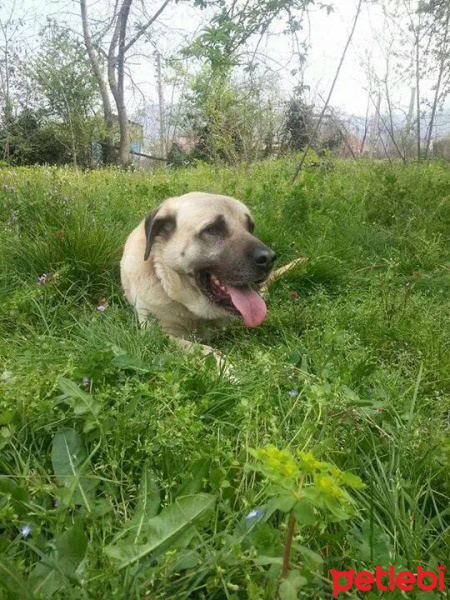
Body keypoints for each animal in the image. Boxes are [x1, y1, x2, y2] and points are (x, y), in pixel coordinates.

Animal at [119, 190, 274, 364]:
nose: (269, 258)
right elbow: (198, 348)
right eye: (213, 229)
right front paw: (223, 364)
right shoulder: (157, 334)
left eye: (250, 227)